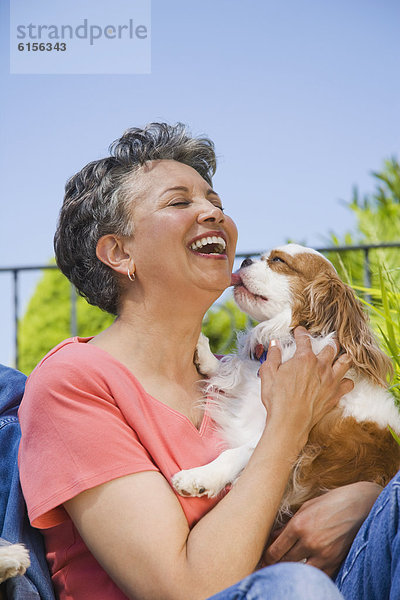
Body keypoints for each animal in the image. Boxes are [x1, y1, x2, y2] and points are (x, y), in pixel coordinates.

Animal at [171, 241, 400, 524]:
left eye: (278, 261)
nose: (245, 261)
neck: (286, 340)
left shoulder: (297, 443)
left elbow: (238, 451)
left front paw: (200, 477)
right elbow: (236, 369)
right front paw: (207, 356)